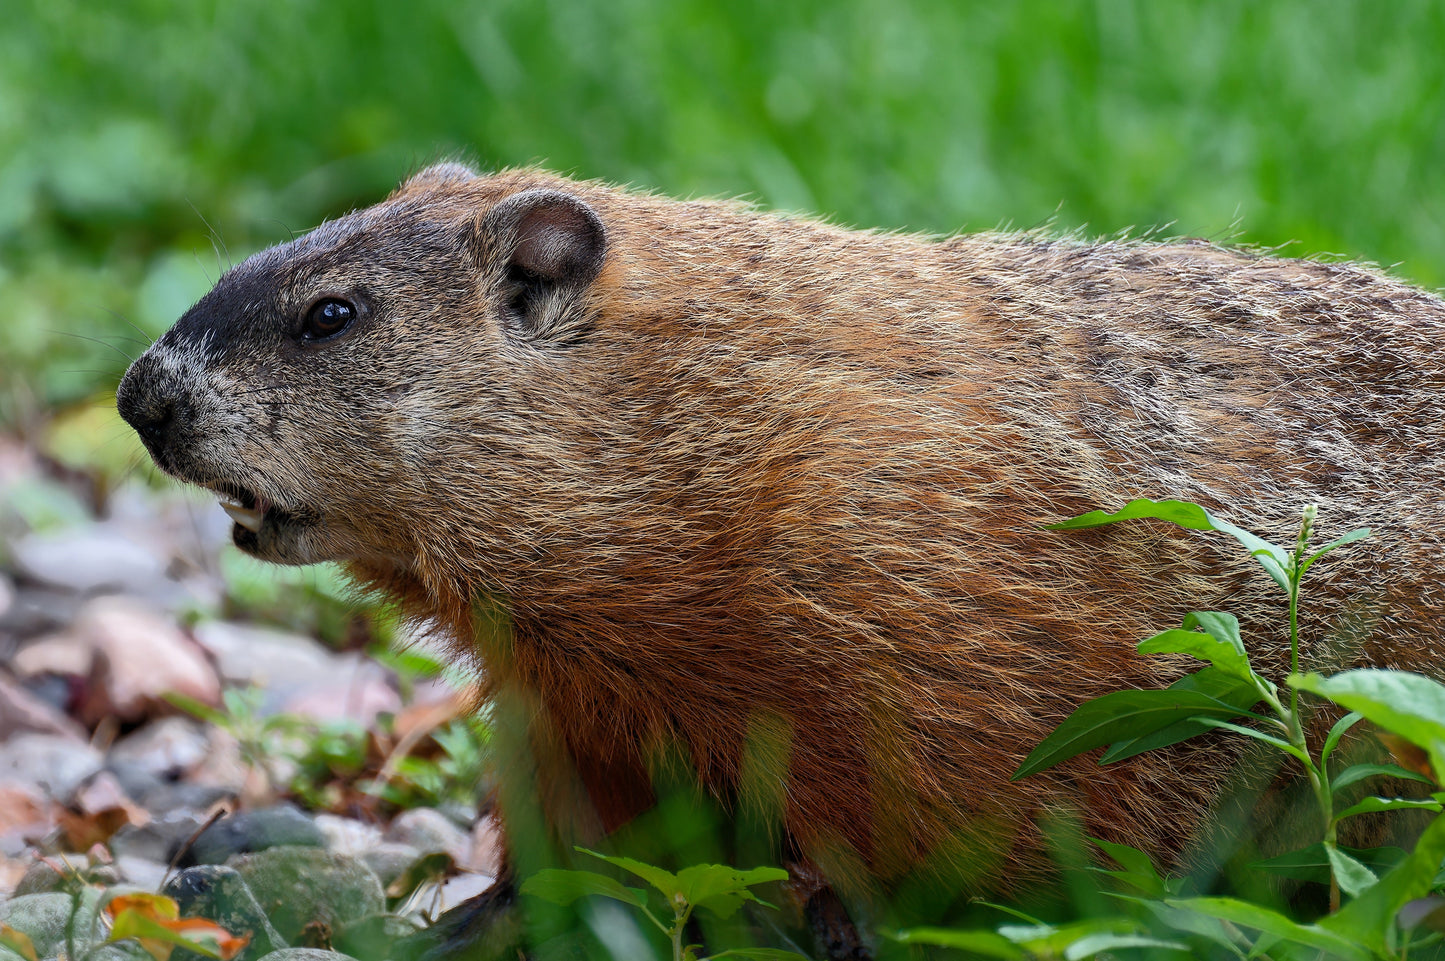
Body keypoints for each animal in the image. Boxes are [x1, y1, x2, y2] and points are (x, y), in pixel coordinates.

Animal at [118, 161, 1445, 938]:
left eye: (331, 314)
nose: (138, 393)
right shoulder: (570, 695)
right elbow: (587, 823)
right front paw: (485, 915)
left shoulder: (887, 605)